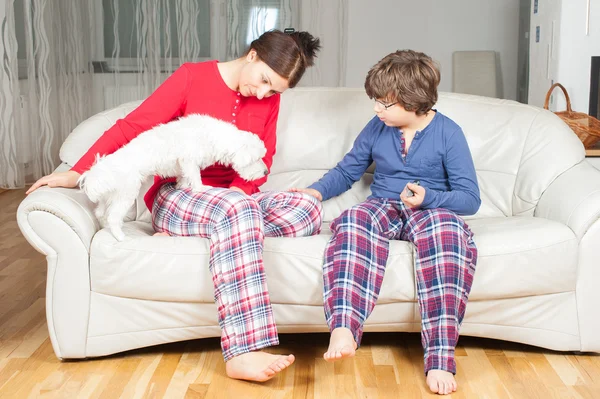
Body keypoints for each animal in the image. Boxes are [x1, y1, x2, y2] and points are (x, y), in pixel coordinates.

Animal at [78, 114, 268, 242]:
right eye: (256, 159)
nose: (266, 172)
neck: (212, 136)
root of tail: (104, 170)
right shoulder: (189, 160)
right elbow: (195, 177)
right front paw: (200, 188)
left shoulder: (182, 165)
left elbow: (183, 177)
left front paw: (181, 187)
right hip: (126, 194)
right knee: (113, 217)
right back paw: (120, 236)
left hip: (109, 196)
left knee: (100, 213)